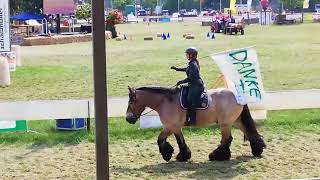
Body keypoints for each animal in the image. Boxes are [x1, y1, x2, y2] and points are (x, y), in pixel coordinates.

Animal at [126, 86, 266, 162]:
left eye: (131, 102)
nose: (128, 118)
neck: (165, 102)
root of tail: (237, 96)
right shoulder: (175, 127)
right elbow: (176, 140)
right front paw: (181, 155)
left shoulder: (171, 126)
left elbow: (163, 140)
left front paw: (170, 155)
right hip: (235, 121)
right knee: (248, 132)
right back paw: (257, 149)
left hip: (225, 123)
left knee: (227, 139)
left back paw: (217, 156)